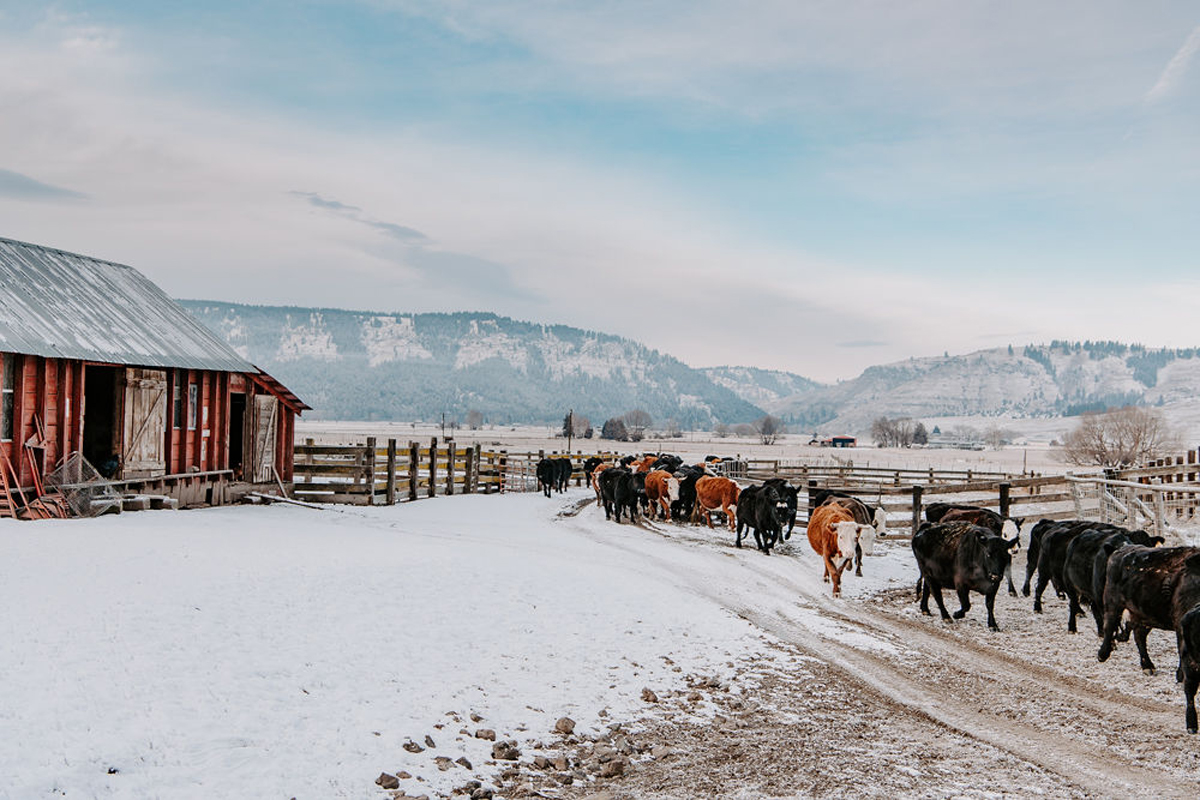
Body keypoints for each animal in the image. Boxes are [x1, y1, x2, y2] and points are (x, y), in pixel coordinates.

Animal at [1099, 544, 1200, 676]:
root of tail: (1119, 550)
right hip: (1112, 602)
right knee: (1109, 626)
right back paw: (1103, 654)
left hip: (1145, 614)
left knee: (1139, 635)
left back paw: (1147, 665)